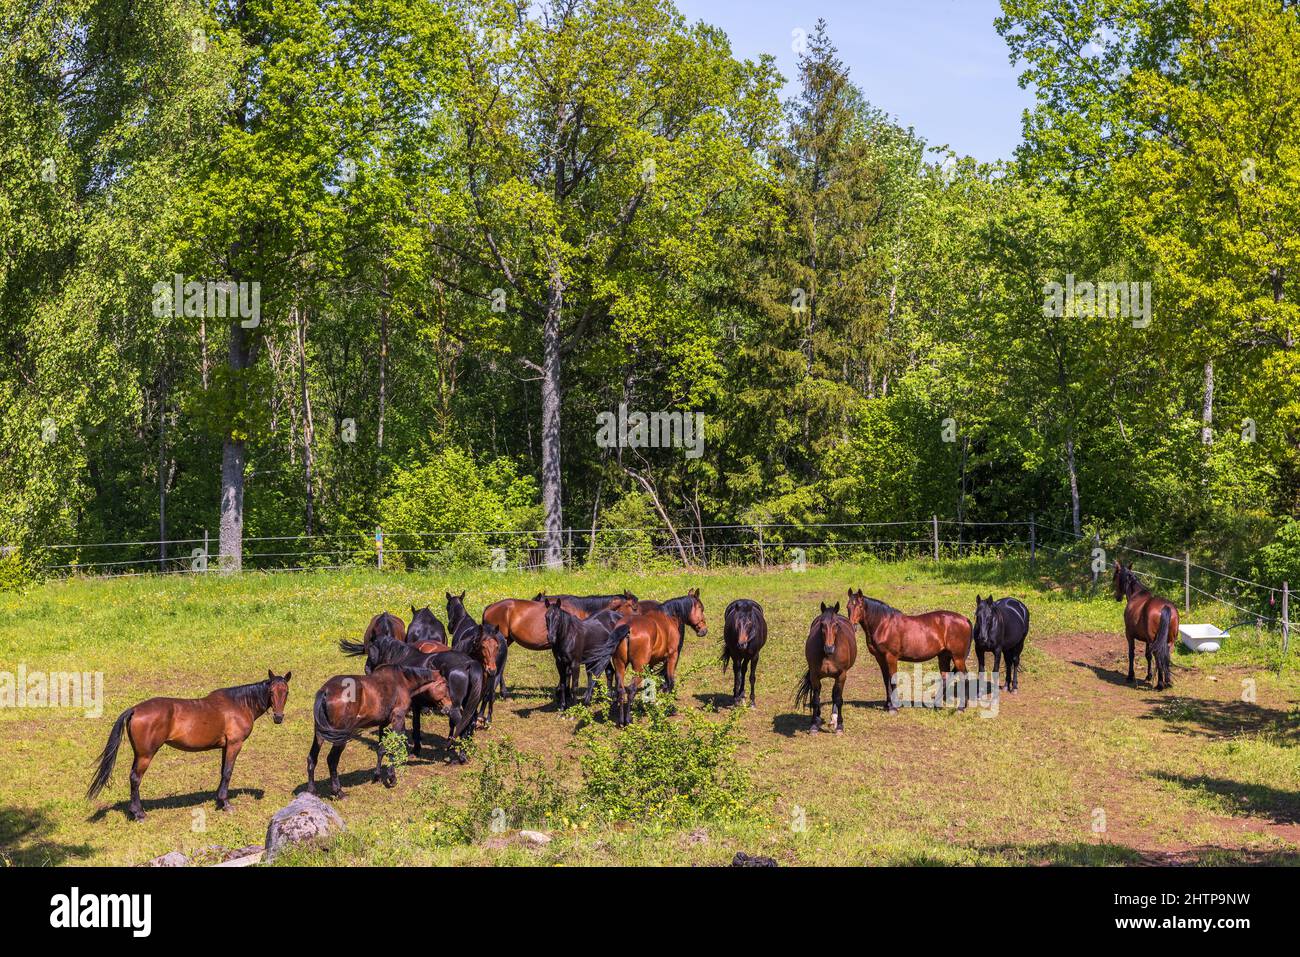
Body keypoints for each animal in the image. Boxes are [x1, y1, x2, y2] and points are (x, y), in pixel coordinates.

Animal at [87, 671, 291, 821]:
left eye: (286, 692)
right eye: (271, 692)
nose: (278, 717)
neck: (239, 704)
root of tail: (135, 709)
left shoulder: (225, 747)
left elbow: (222, 772)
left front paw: (219, 801)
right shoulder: (234, 744)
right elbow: (228, 772)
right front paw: (226, 804)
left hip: (139, 754)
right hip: (146, 755)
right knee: (135, 779)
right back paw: (139, 814)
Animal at [307, 664, 451, 797]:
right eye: (445, 685)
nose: (449, 707)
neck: (402, 681)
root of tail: (325, 691)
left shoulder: (383, 723)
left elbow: (381, 749)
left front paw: (377, 776)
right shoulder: (398, 719)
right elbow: (394, 748)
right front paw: (392, 778)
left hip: (319, 734)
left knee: (312, 758)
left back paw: (312, 791)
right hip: (340, 738)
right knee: (332, 760)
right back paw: (338, 792)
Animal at [610, 590, 707, 726]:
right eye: (701, 608)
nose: (704, 630)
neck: (668, 616)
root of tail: (627, 628)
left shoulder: (651, 663)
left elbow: (649, 683)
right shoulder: (672, 656)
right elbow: (670, 682)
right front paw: (669, 708)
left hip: (620, 665)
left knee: (621, 690)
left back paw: (621, 721)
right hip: (638, 667)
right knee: (631, 689)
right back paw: (628, 720)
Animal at [795, 604, 856, 733]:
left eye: (836, 624)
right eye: (822, 624)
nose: (829, 648)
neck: (828, 655)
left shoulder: (841, 675)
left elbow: (838, 699)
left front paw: (839, 726)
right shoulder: (814, 676)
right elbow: (815, 699)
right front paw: (814, 725)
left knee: (835, 695)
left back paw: (834, 718)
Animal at [1112, 561, 1176, 690]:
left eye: (1115, 577)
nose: (1117, 597)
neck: (1137, 595)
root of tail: (1165, 607)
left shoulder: (1129, 635)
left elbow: (1131, 654)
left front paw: (1130, 676)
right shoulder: (1147, 640)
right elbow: (1148, 655)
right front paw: (1149, 676)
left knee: (1158, 655)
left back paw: (1160, 684)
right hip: (1169, 641)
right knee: (1166, 654)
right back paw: (1167, 681)